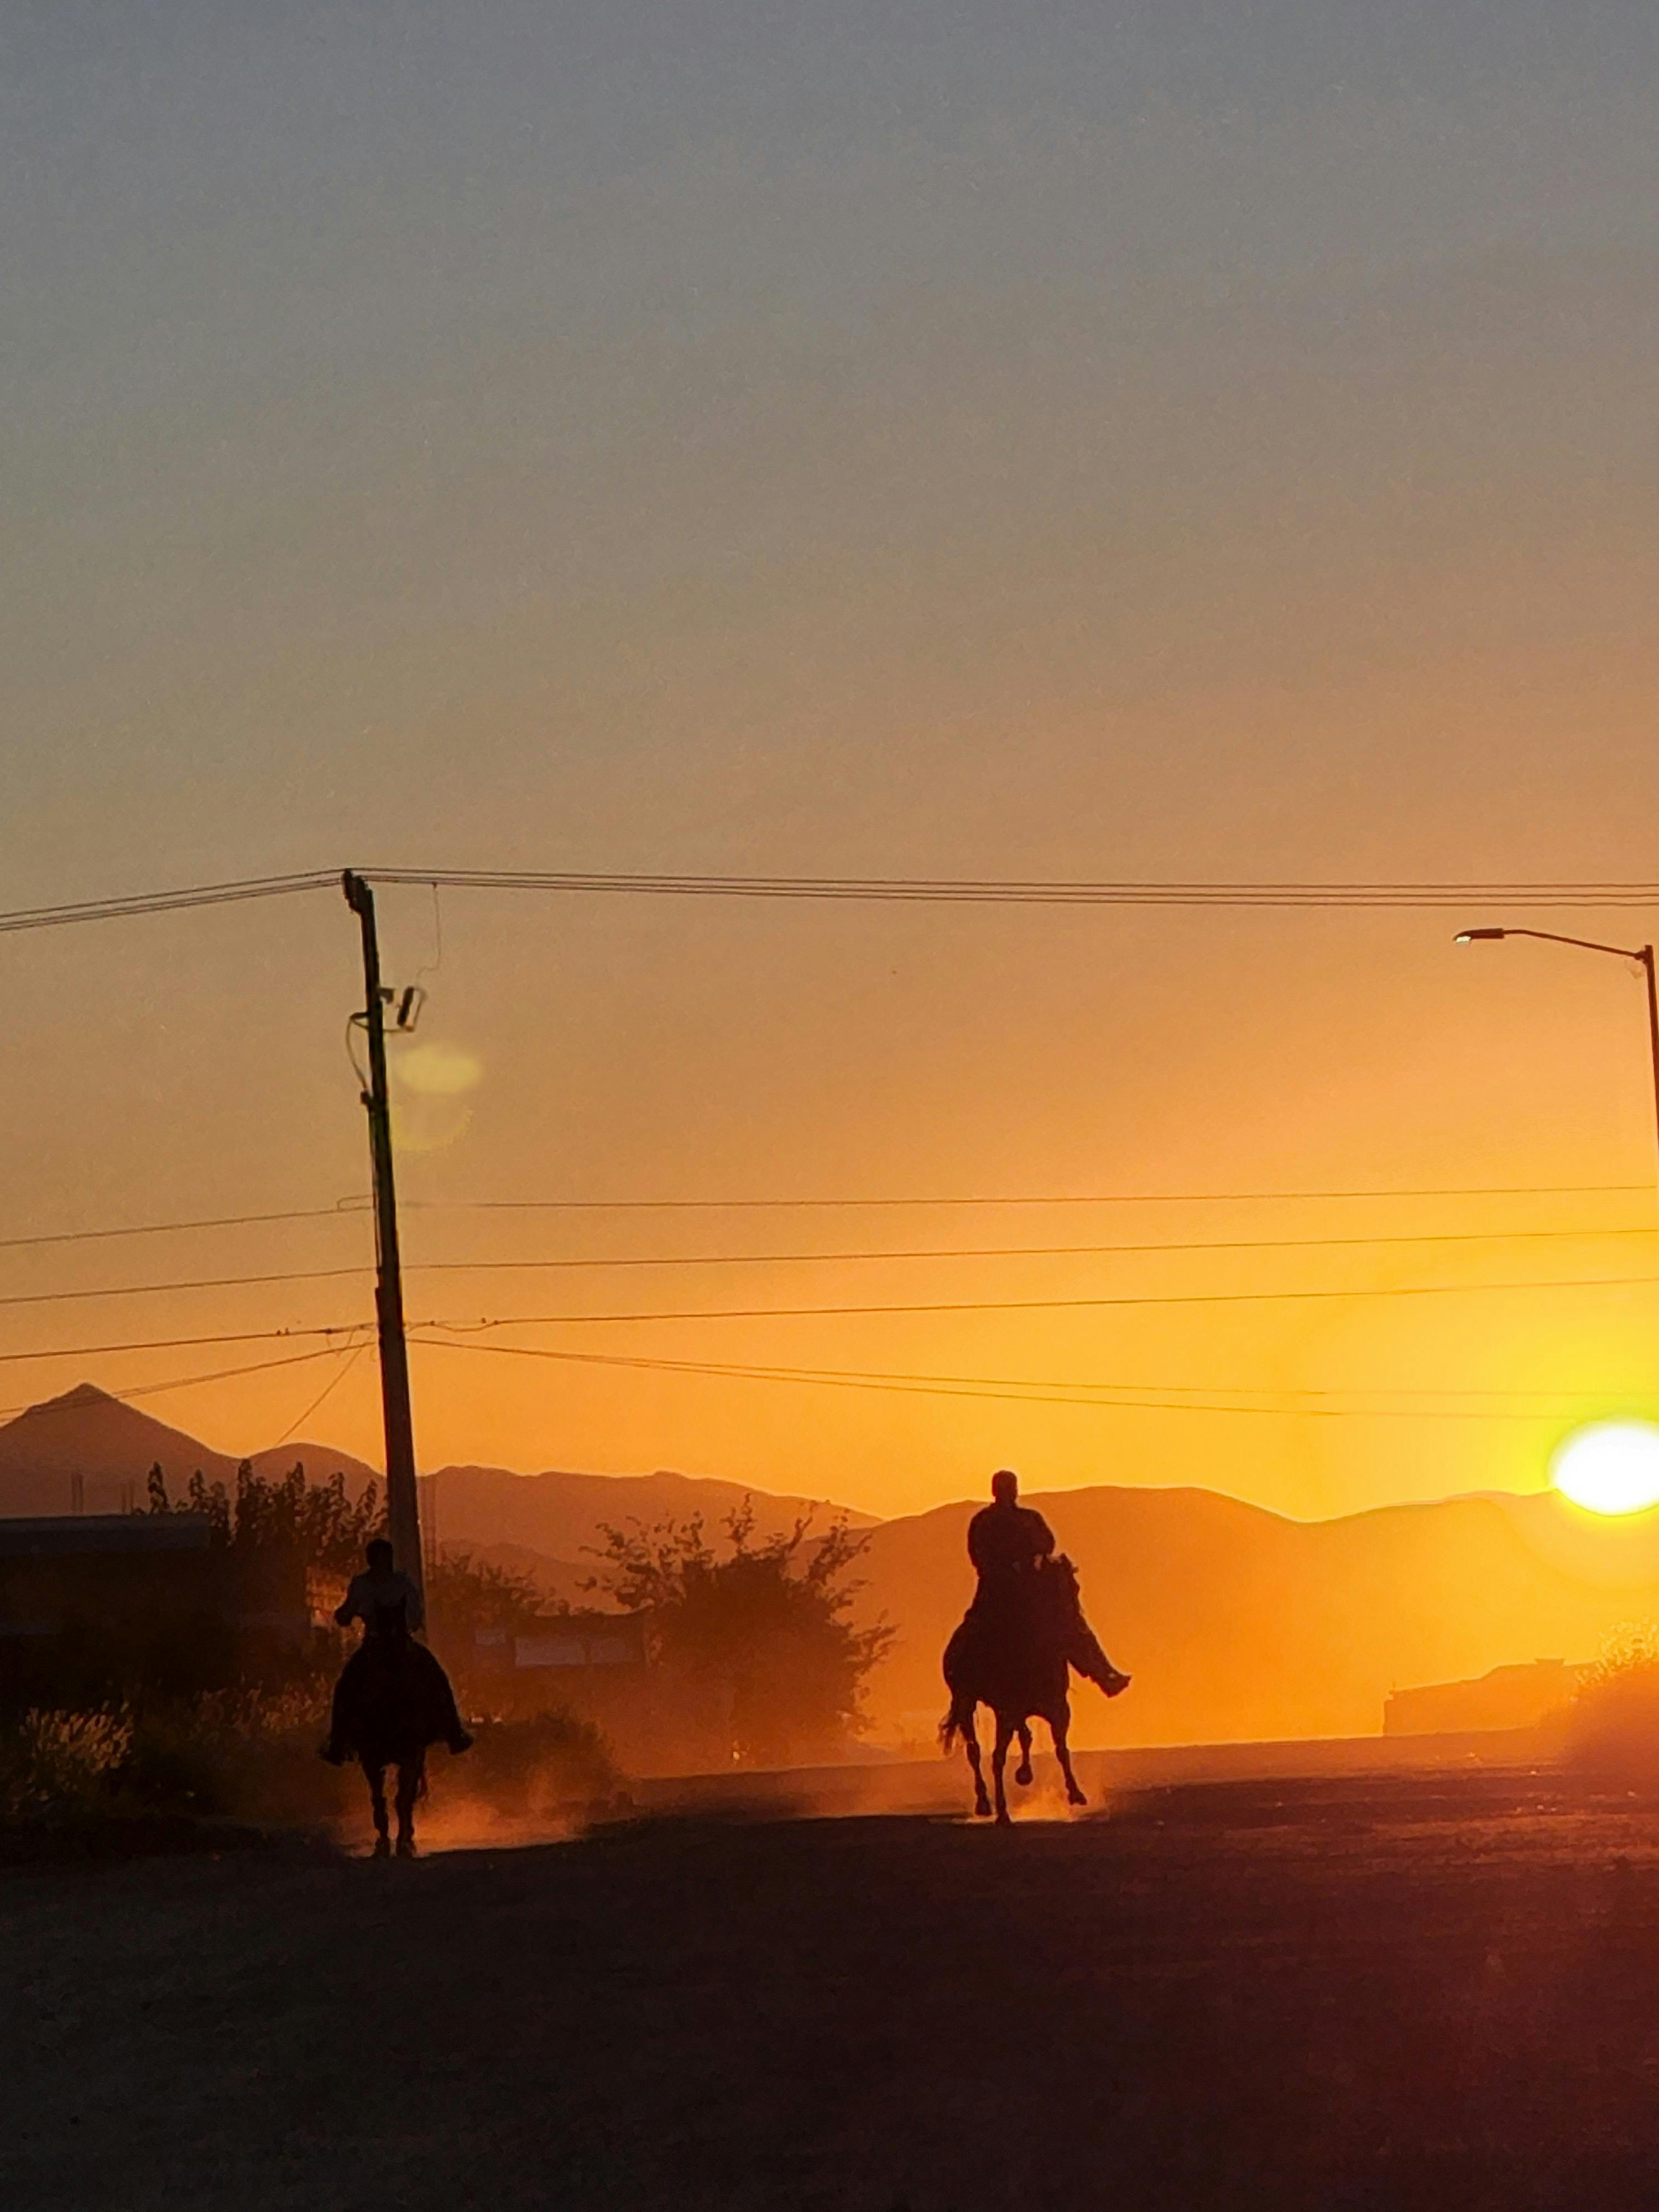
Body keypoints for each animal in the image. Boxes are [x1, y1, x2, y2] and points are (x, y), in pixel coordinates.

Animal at [947, 1548, 1133, 1823]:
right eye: (1051, 1589)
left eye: (1073, 1587)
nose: (1075, 1620)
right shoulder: (1007, 1711)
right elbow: (998, 1757)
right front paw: (1003, 1812)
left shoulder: (1058, 1708)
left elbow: (1060, 1749)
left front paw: (1076, 1794)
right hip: (966, 1703)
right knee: (975, 1750)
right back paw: (983, 1803)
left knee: (1024, 1735)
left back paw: (1024, 1775)